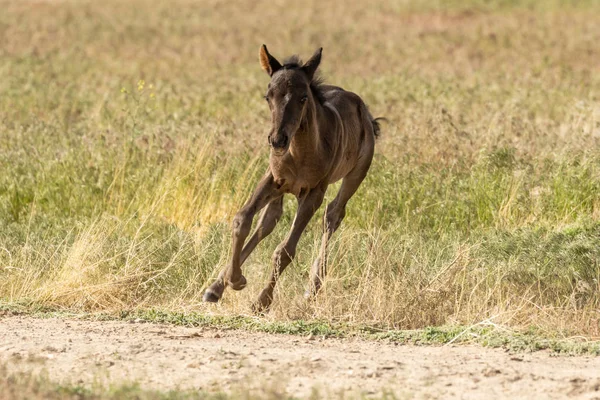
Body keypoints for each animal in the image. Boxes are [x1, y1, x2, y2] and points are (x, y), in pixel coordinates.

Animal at [202, 45, 380, 310]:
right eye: (268, 96)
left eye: (303, 97)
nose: (277, 140)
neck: (299, 153)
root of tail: (365, 113)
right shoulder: (272, 179)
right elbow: (242, 220)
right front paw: (232, 281)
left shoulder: (314, 193)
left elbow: (284, 250)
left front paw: (261, 302)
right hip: (281, 189)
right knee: (268, 221)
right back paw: (217, 286)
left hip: (356, 174)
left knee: (333, 214)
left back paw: (312, 287)